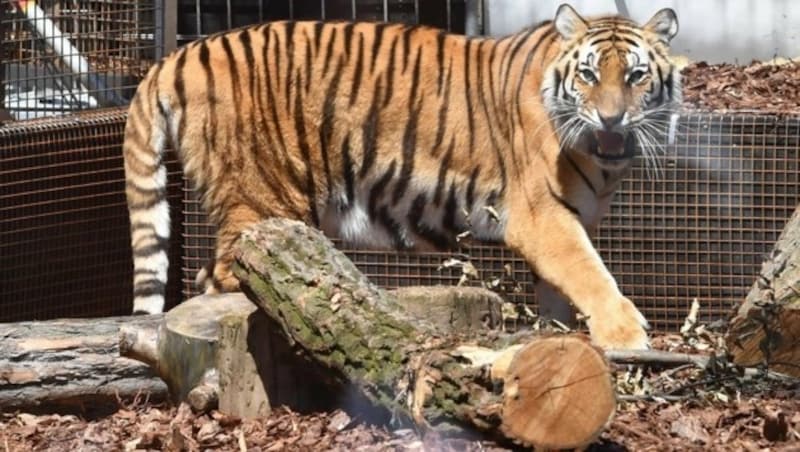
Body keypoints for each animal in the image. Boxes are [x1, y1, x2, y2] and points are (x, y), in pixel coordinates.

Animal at [123, 4, 680, 350]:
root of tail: (178, 54)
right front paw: (626, 332)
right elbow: (589, 273)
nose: (611, 119)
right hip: (262, 201)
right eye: (588, 74)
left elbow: (561, 290)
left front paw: (558, 336)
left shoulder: (571, 218)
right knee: (220, 281)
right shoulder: (542, 217)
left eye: (636, 76)